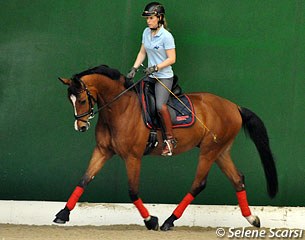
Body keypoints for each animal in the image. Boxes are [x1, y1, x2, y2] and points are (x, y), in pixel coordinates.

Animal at [53, 64, 276, 230]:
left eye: (82, 100)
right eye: (70, 100)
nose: (81, 127)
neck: (120, 108)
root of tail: (234, 107)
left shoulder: (133, 157)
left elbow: (132, 191)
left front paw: (151, 221)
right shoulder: (103, 151)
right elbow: (84, 180)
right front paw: (63, 214)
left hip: (209, 151)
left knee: (199, 183)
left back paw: (169, 221)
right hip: (220, 151)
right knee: (237, 179)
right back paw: (252, 219)